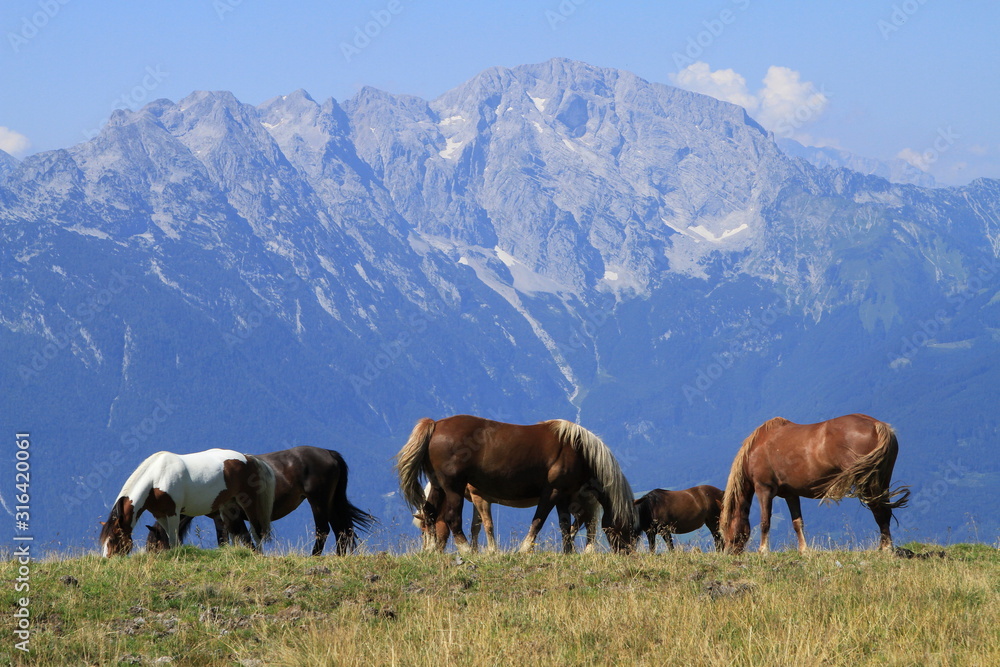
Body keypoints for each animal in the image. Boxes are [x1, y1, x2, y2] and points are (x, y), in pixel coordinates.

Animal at [100, 449, 276, 557]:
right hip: (228, 505)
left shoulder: (173, 513)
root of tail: (249, 458)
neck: (156, 479)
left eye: (113, 539)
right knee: (236, 531)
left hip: (249, 503)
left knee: (256, 531)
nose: (108, 560)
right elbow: (169, 538)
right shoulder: (160, 515)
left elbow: (173, 539)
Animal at [145, 446, 376, 556]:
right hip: (330, 502)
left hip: (317, 501)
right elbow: (235, 537)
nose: (153, 558)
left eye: (153, 543)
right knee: (341, 530)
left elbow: (227, 539)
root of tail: (329, 453)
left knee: (324, 530)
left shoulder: (222, 517)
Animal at [411, 482, 603, 552]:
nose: (427, 551)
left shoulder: (480, 498)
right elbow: (476, 526)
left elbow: (487, 524)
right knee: (582, 523)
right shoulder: (476, 498)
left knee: (589, 522)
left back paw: (587, 551)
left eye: (425, 528)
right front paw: (474, 550)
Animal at [719, 414, 910, 554]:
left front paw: (763, 551)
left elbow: (765, 521)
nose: (728, 553)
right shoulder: (791, 494)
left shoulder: (763, 489)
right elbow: (797, 522)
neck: (757, 447)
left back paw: (886, 548)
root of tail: (878, 425)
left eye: (726, 528)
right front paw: (804, 550)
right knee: (884, 511)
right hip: (881, 481)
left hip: (867, 483)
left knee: (879, 510)